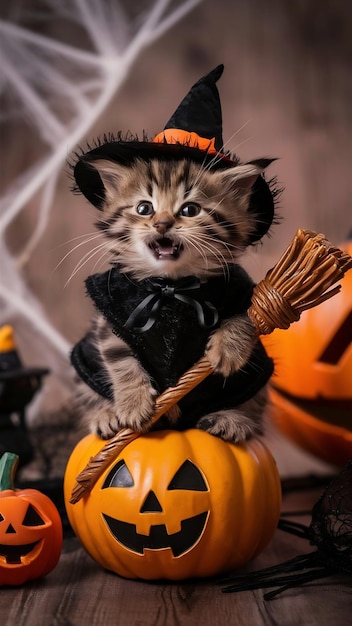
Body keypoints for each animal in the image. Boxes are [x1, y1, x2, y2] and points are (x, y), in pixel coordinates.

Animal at [71, 155, 274, 438]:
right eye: (144, 208)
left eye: (190, 210)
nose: (162, 224)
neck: (170, 289)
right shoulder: (111, 318)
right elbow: (120, 359)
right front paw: (133, 406)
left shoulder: (238, 290)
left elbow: (245, 317)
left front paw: (228, 351)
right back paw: (105, 416)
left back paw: (231, 419)